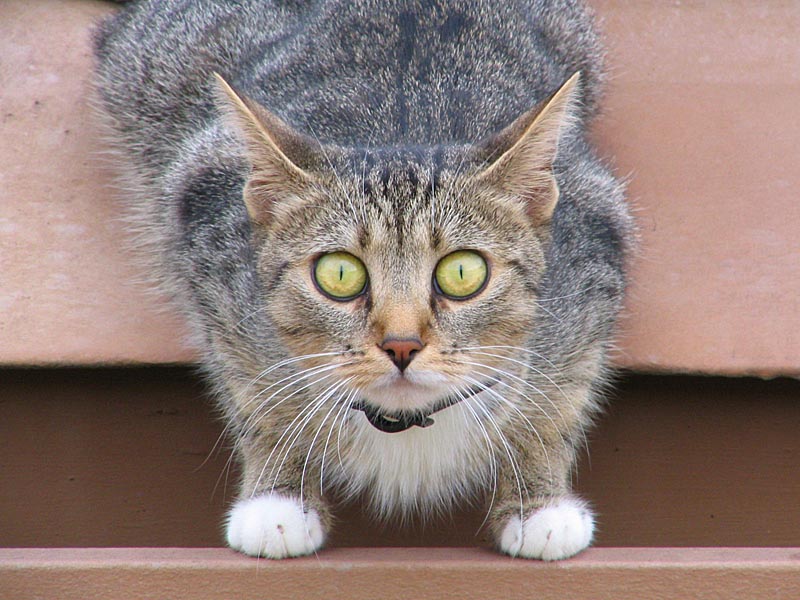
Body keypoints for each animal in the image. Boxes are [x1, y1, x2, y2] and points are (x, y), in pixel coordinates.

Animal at [92, 0, 632, 564]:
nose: (401, 345)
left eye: (463, 272)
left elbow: (560, 397)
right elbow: (255, 392)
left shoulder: (592, 259)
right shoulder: (215, 269)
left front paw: (539, 502)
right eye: (339, 274)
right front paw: (278, 498)